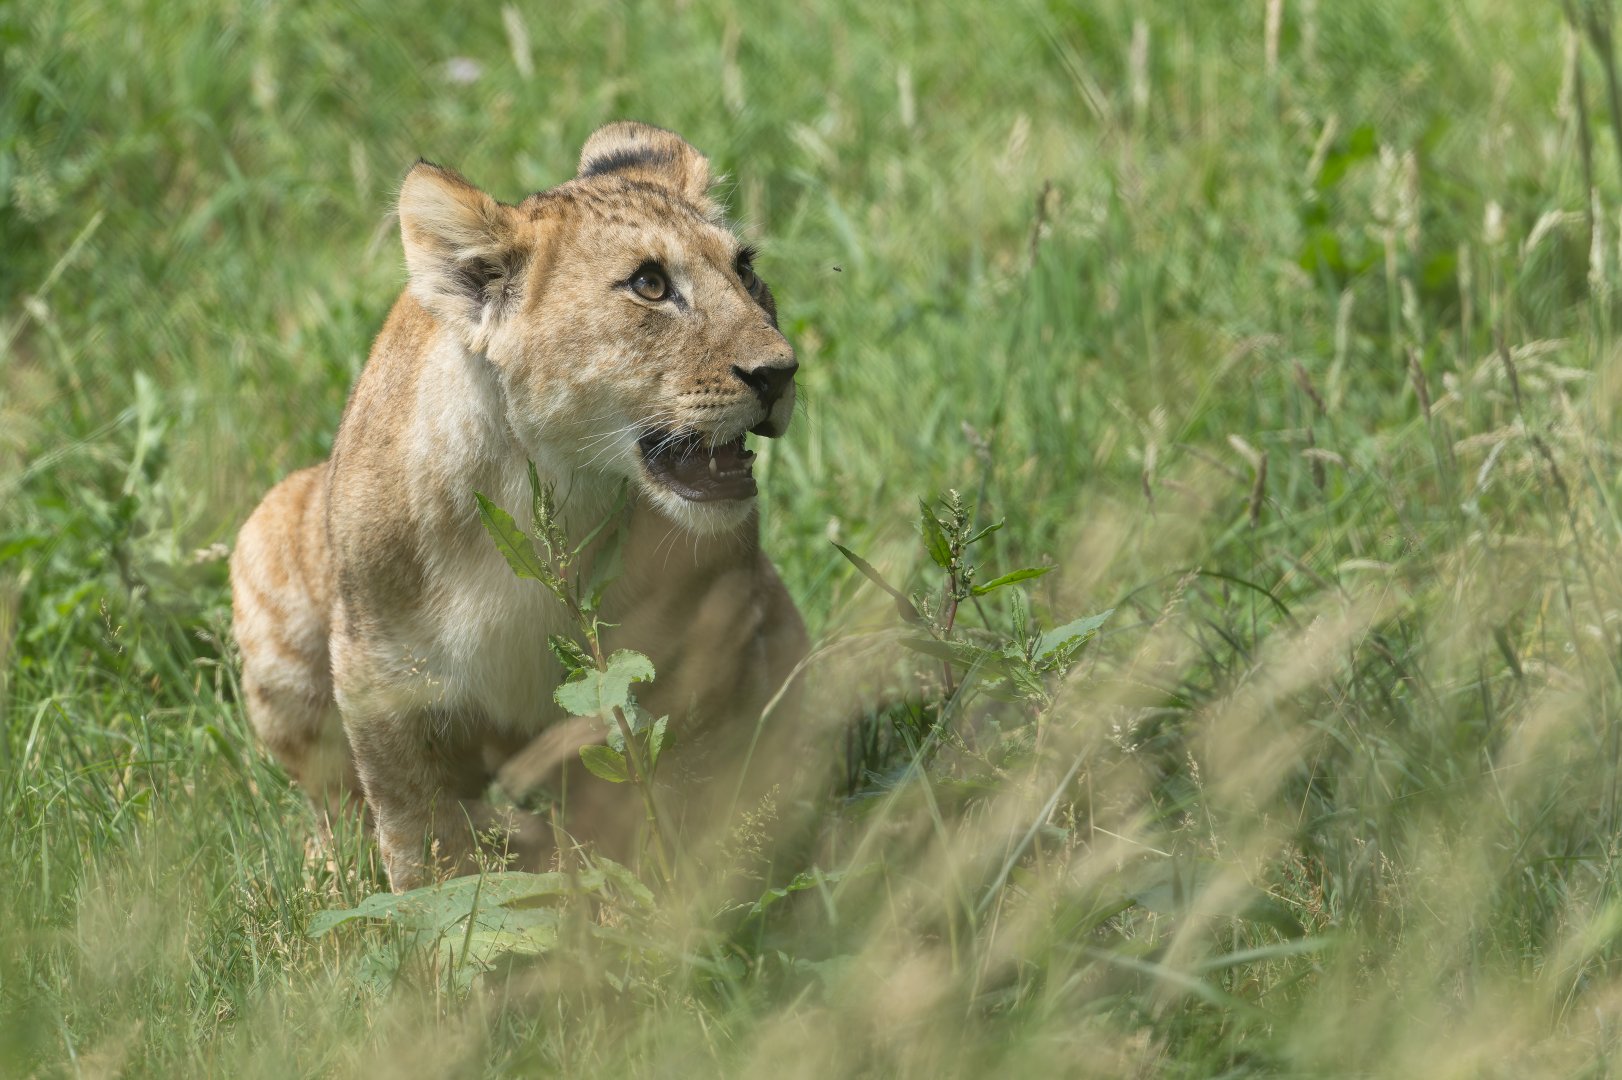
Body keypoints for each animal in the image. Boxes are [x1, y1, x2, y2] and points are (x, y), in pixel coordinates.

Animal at [229, 122, 807, 891]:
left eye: (746, 271)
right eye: (650, 285)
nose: (780, 373)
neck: (553, 490)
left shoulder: (710, 633)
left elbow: (684, 794)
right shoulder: (382, 675)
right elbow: (419, 834)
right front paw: (438, 916)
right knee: (334, 806)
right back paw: (333, 876)